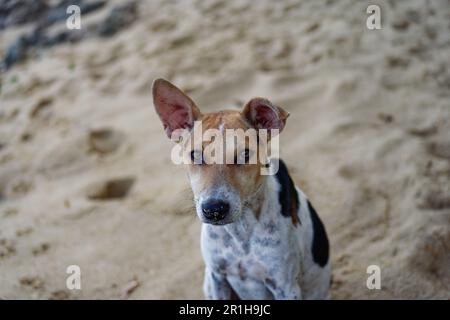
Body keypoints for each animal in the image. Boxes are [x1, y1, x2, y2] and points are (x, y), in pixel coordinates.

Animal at [151, 79, 330, 298]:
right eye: (195, 155)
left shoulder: (285, 287)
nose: (214, 210)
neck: (239, 231)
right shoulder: (217, 277)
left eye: (245, 154)